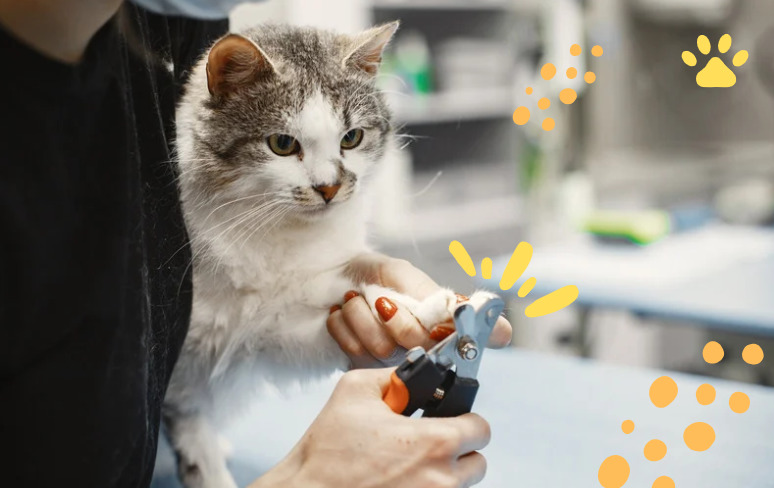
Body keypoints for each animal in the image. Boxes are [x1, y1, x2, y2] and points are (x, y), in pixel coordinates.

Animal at [165, 22, 460, 488]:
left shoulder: (275, 329)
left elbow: (355, 304)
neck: (273, 235)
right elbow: (193, 418)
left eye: (352, 138)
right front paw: (208, 467)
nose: (329, 187)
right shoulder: (188, 358)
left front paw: (426, 311)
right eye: (283, 144)